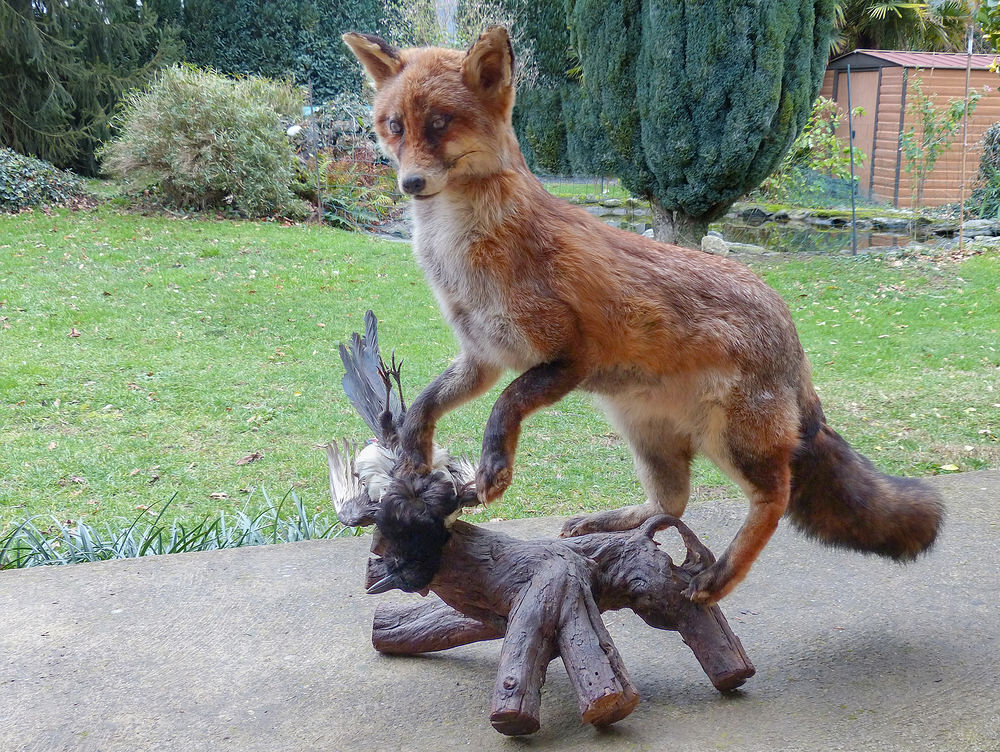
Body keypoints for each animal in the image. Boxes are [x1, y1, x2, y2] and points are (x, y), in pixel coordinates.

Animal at [342, 27, 944, 604]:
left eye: (440, 123)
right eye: (395, 126)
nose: (410, 184)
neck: (464, 252)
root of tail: (792, 336)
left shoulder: (570, 357)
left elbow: (505, 407)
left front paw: (493, 468)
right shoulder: (482, 356)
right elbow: (427, 400)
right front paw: (413, 455)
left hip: (734, 442)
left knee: (774, 499)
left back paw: (720, 576)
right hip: (648, 438)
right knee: (672, 505)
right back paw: (612, 524)